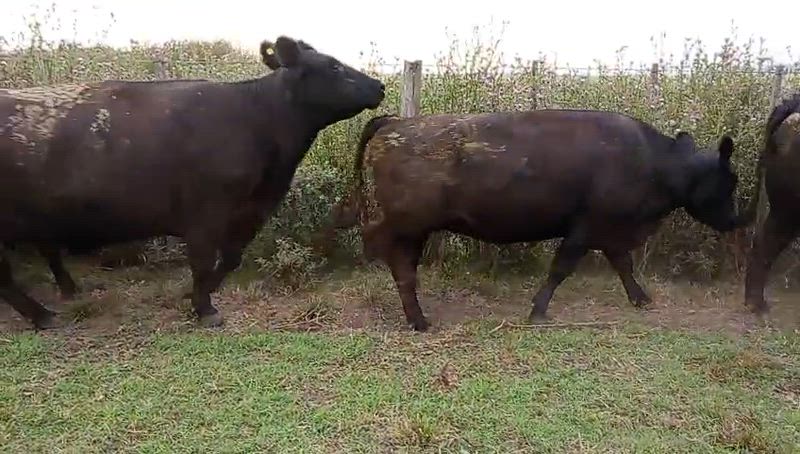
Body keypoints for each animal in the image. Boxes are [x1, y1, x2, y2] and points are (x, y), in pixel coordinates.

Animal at [0, 35, 385, 330]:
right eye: (333, 66)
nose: (379, 86)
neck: (255, 119)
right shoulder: (205, 213)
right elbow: (203, 260)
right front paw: (204, 309)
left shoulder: (248, 211)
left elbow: (230, 259)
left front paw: (197, 295)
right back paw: (42, 315)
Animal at [331, 110, 740, 331]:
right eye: (729, 181)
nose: (737, 220)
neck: (652, 161)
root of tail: (396, 121)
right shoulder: (586, 228)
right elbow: (561, 269)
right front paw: (538, 311)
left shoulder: (608, 232)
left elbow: (623, 265)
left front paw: (641, 299)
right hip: (407, 224)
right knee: (390, 254)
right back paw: (417, 319)